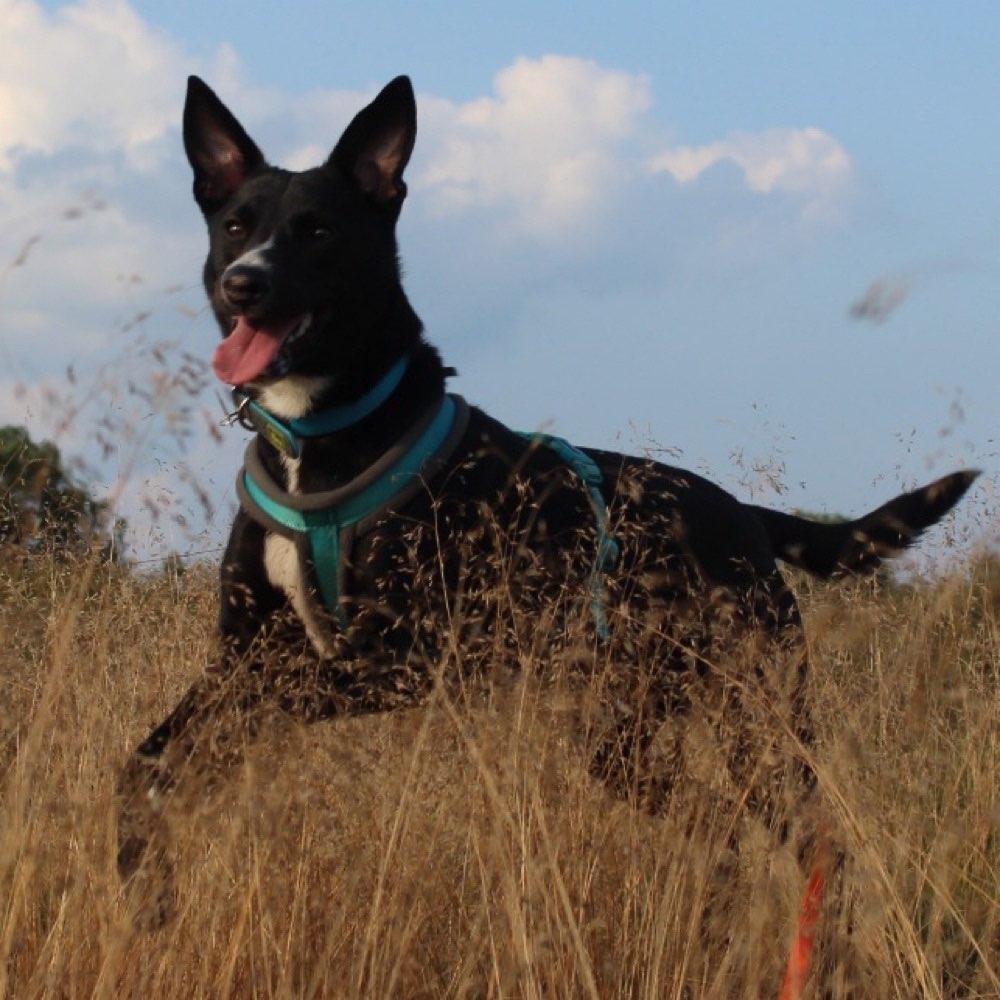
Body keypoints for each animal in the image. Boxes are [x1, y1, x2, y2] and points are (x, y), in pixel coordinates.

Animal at [117, 76, 976, 920]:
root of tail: (744, 517)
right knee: (719, 830)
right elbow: (149, 761)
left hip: (755, 716)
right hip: (619, 735)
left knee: (812, 838)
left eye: (318, 230)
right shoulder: (241, 650)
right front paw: (144, 882)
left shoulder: (400, 655)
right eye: (235, 226)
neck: (320, 438)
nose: (245, 283)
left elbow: (262, 699)